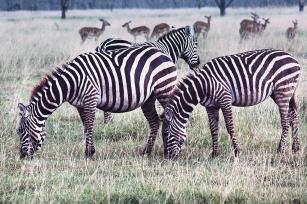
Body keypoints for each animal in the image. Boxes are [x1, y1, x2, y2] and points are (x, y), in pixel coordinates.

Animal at [17, 25, 200, 159]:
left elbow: (89, 125)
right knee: (155, 121)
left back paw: (170, 148)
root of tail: (162, 53)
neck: (71, 82)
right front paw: (90, 151)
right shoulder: (80, 105)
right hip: (149, 98)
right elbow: (86, 126)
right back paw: (147, 152)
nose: (22, 157)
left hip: (164, 89)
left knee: (171, 117)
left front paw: (89, 153)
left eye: (20, 131)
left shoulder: (90, 98)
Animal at [162, 48, 302, 159]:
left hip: (283, 91)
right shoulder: (211, 106)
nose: (169, 157)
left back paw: (280, 150)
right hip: (286, 92)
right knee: (293, 115)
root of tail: (293, 58)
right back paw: (296, 147)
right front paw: (214, 153)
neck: (203, 86)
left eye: (167, 134)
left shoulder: (225, 99)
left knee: (285, 122)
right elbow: (213, 129)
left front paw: (237, 151)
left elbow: (230, 127)